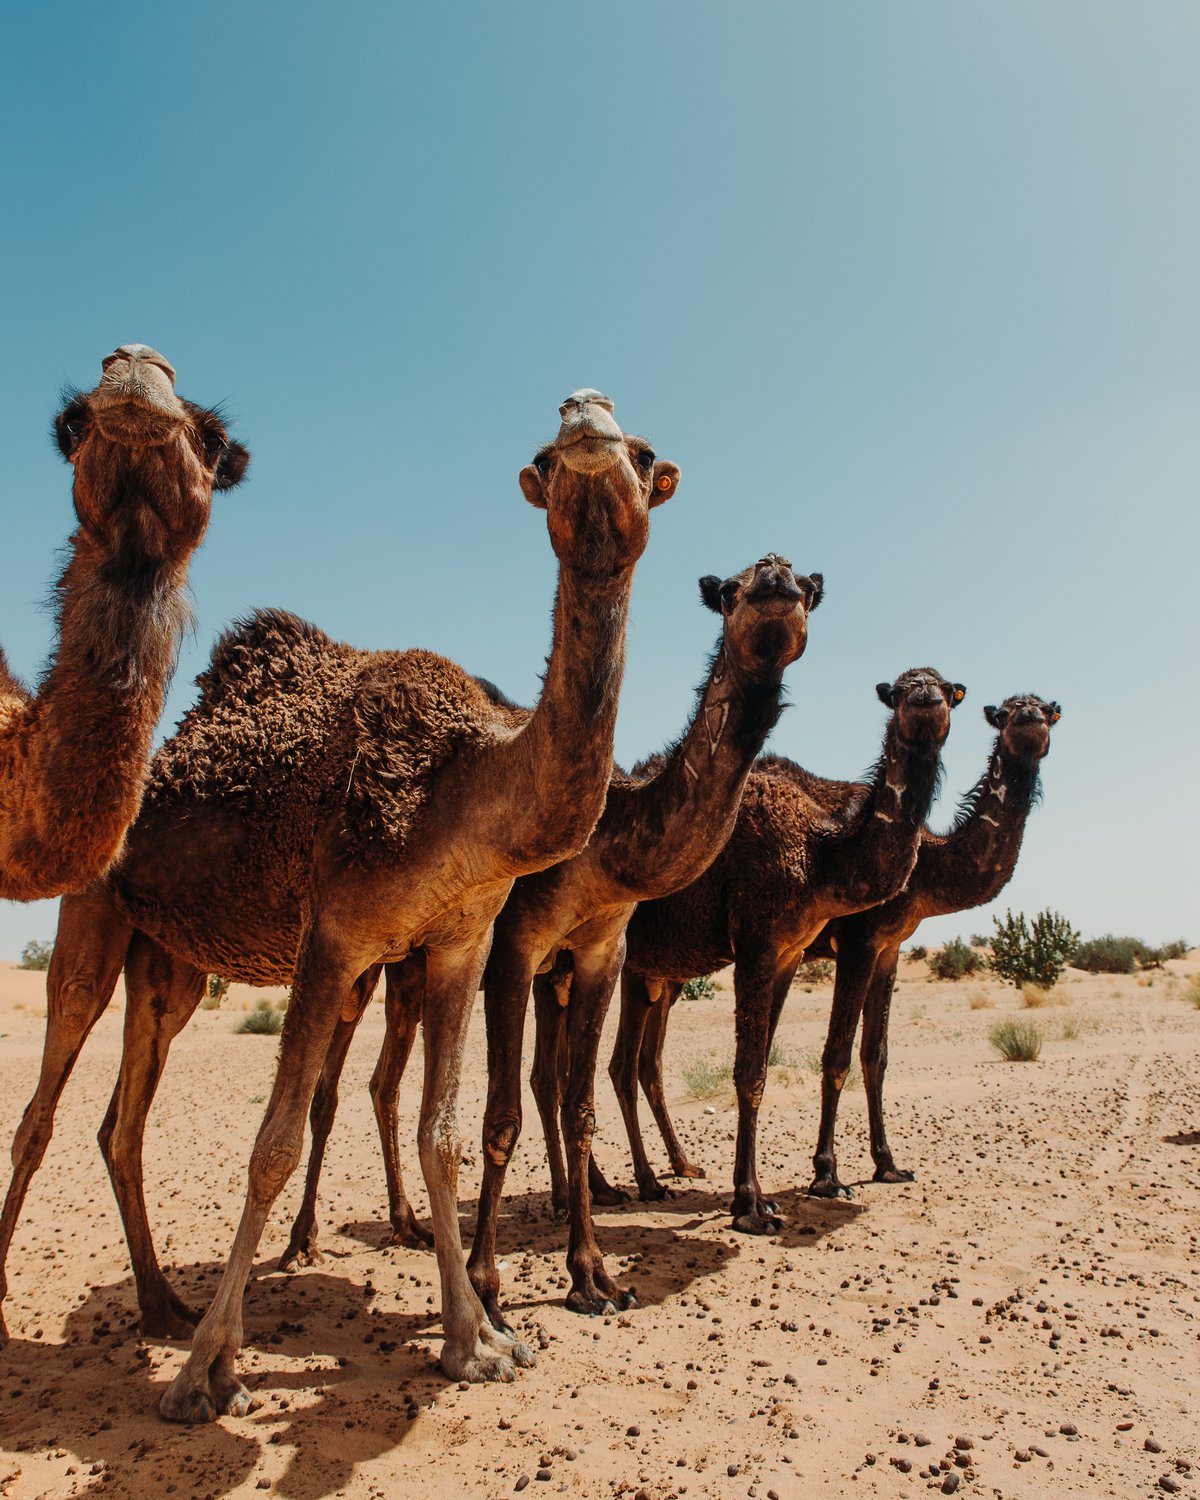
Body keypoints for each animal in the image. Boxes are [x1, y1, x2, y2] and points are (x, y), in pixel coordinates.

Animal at [279, 552, 828, 1326]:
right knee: (329, 1090)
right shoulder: (514, 945)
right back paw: (302, 1241)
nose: (775, 575)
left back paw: (417, 1223)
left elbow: (578, 1102)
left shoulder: (599, 953)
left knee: (391, 1083)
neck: (607, 843)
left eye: (805, 589)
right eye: (731, 591)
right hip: (365, 952)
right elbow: (500, 1115)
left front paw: (593, 1275)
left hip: (421, 966)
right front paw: (484, 1284)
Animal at [600, 669, 966, 1230]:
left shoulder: (789, 953)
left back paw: (643, 1177)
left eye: (947, 689)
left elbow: (764, 1066)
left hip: (648, 970)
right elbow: (749, 1072)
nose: (925, 698)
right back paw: (629, 1184)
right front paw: (752, 1205)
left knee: (626, 1063)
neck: (817, 852)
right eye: (901, 691)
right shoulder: (757, 939)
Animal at [804, 696, 1062, 1200]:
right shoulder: (858, 940)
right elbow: (837, 1054)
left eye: (1048, 710)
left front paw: (888, 1165)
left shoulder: (889, 948)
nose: (1030, 718)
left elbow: (876, 1055)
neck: (925, 862)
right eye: (1007, 711)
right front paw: (827, 1176)